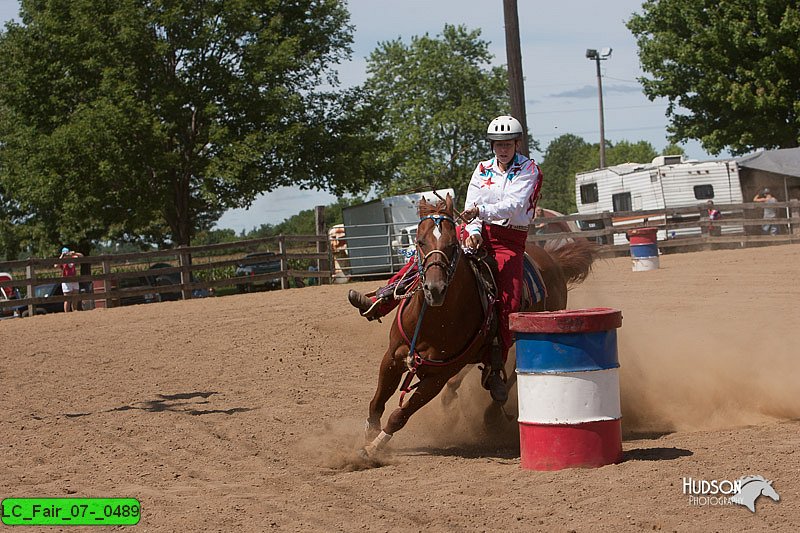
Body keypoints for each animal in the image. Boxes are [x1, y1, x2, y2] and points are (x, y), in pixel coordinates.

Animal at [360, 193, 592, 456]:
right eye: (420, 242)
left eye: (453, 245)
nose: (435, 289)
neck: (433, 322)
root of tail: (553, 259)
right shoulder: (392, 357)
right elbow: (377, 402)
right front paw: (369, 435)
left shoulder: (437, 377)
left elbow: (400, 414)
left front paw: (373, 448)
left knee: (512, 372)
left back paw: (491, 412)